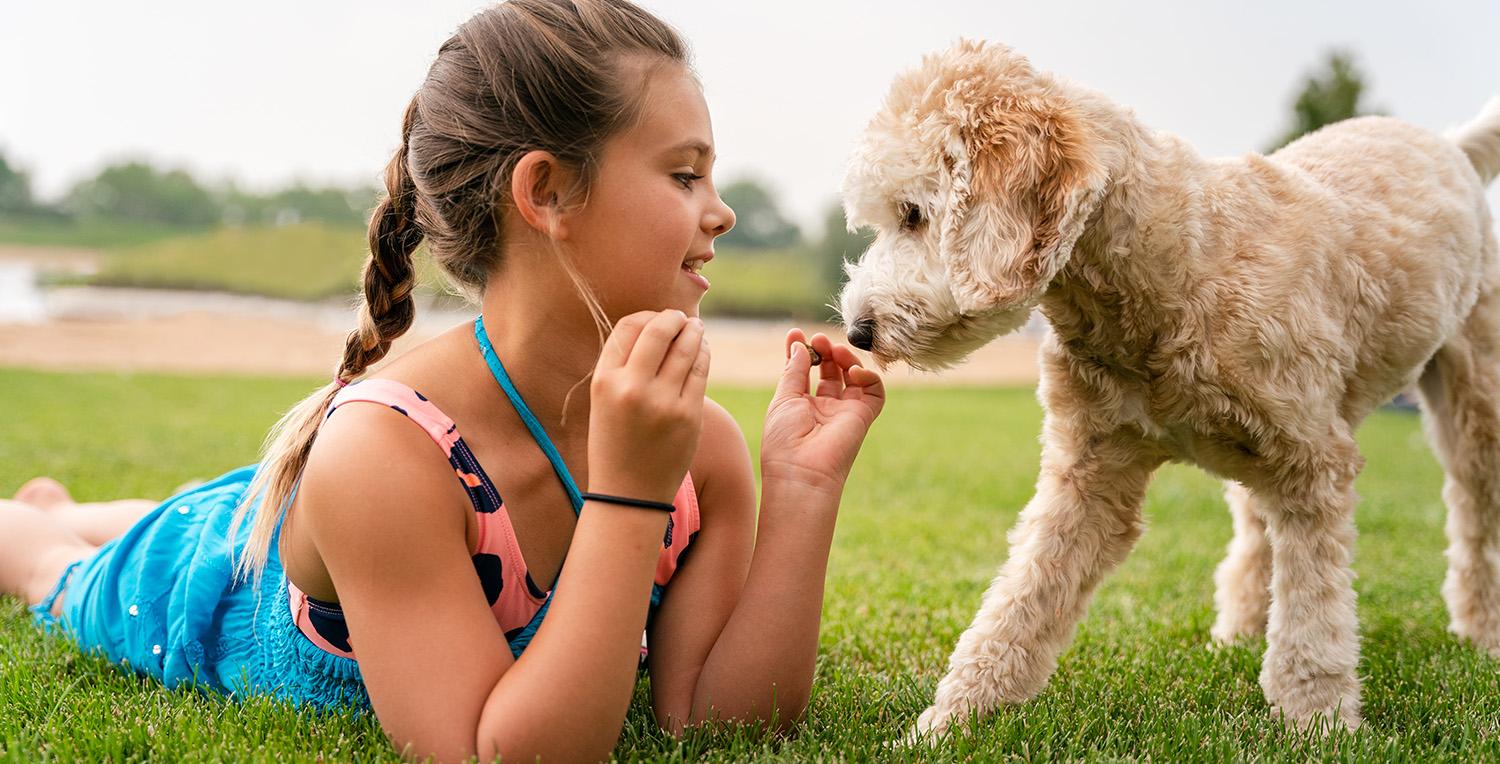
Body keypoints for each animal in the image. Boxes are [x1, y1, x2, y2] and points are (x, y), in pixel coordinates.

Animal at [840, 40, 1500, 732]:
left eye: (914, 215)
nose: (858, 330)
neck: (1173, 262)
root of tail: (1448, 143)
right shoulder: (1091, 472)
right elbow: (1020, 602)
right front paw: (950, 723)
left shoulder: (1313, 467)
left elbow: (1313, 615)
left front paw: (1317, 722)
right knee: (1255, 535)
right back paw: (1239, 633)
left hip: (1472, 395)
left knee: (1474, 519)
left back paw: (1480, 636)